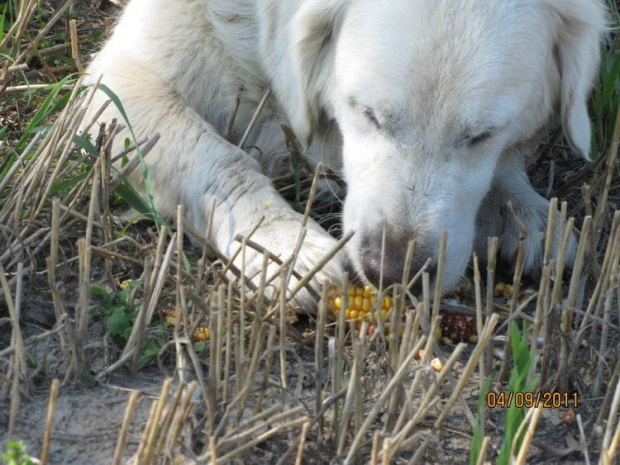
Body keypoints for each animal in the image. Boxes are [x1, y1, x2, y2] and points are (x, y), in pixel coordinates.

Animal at [86, 0, 604, 306]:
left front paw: (524, 209)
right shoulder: (118, 82)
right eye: (369, 114)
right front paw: (282, 244)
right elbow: (220, 159)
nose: (392, 274)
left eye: (481, 135)